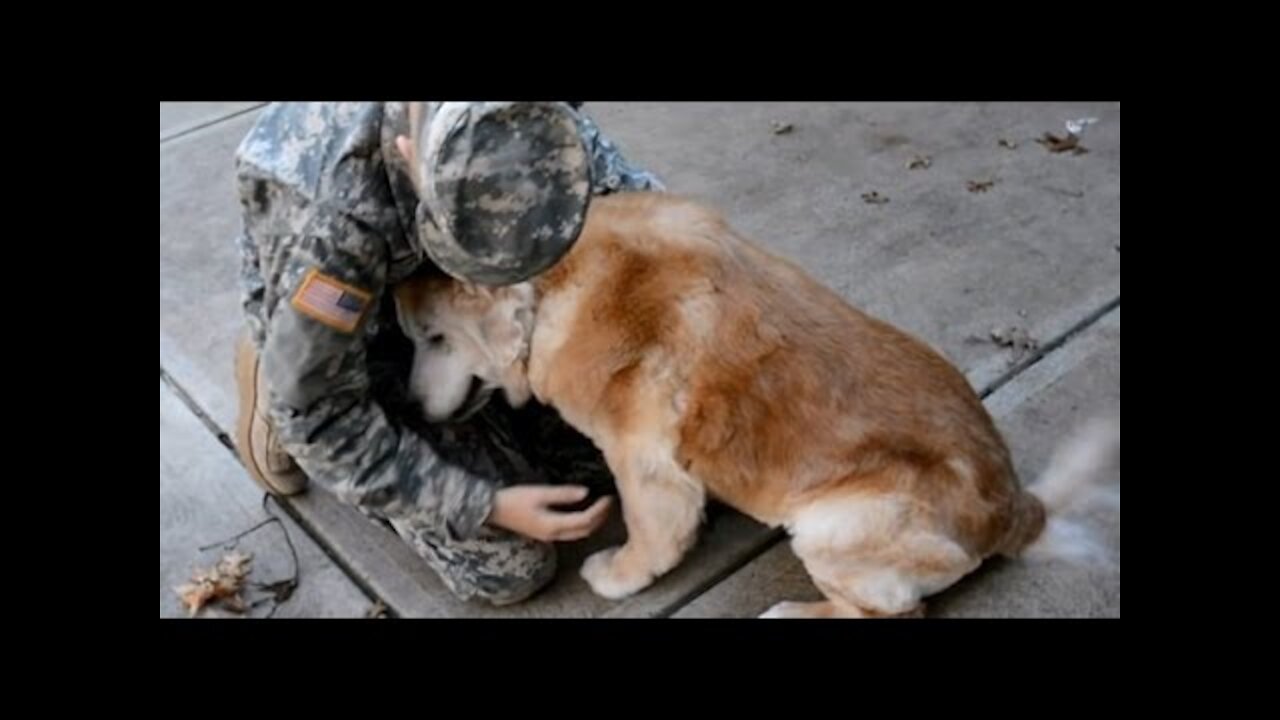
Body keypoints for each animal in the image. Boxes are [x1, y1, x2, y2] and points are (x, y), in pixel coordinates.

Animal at [391, 192, 1121, 617]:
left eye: (433, 338)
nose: (413, 412)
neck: (553, 284)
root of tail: (1015, 507)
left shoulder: (644, 465)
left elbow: (651, 534)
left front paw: (620, 574)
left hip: (831, 527)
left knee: (892, 613)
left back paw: (792, 614)